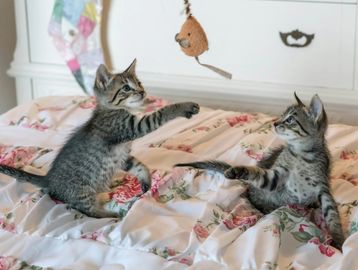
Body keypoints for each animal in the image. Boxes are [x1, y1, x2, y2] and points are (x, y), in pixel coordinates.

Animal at [0, 60, 200, 218]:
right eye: (126, 88)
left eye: (139, 82)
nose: (142, 92)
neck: (112, 109)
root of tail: (49, 179)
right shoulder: (131, 127)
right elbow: (161, 113)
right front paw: (185, 106)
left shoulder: (122, 156)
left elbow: (140, 166)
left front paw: (146, 181)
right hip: (82, 191)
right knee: (87, 211)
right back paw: (113, 215)